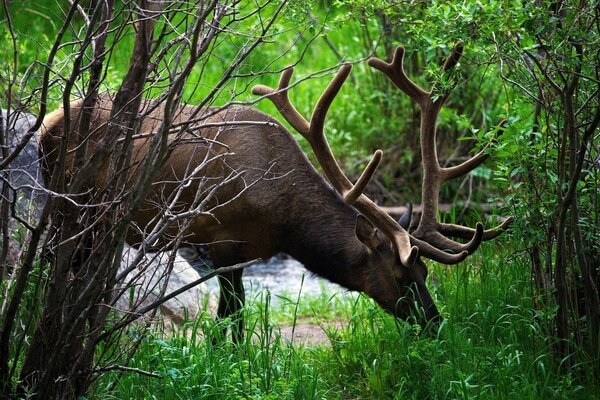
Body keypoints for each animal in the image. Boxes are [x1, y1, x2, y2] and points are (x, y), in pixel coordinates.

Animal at [38, 45, 510, 340]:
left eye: (426, 274)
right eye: (401, 276)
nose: (436, 323)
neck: (283, 221)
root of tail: (49, 121)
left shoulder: (247, 250)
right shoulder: (222, 238)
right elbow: (232, 317)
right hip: (70, 205)